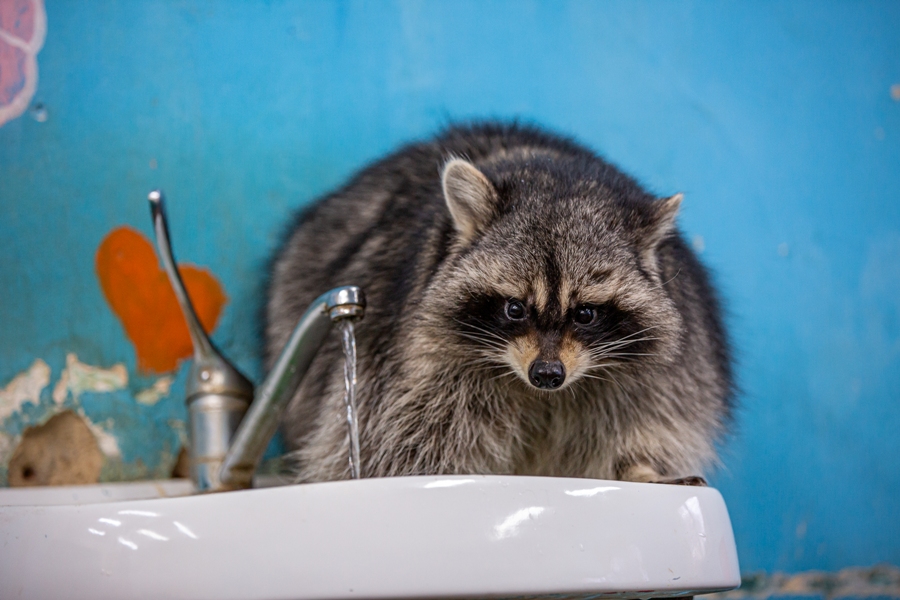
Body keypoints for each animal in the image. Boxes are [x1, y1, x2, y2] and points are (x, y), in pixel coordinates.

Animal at [268, 122, 732, 482]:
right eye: (515, 309)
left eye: (585, 314)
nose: (547, 374)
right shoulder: (410, 359)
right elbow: (403, 437)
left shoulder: (667, 369)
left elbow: (651, 416)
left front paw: (641, 467)